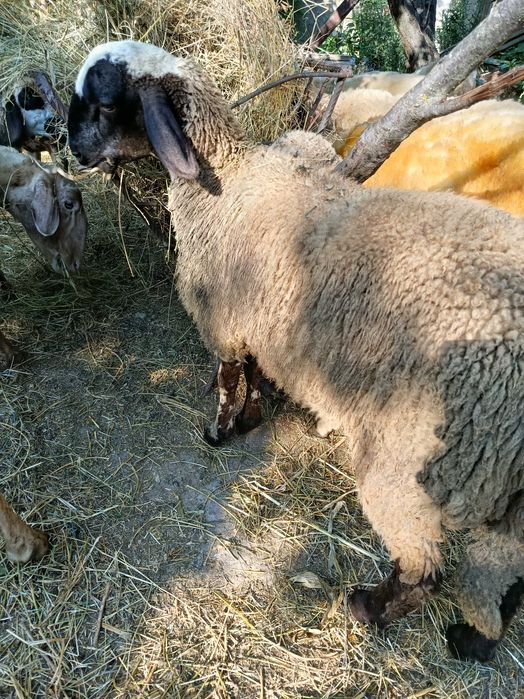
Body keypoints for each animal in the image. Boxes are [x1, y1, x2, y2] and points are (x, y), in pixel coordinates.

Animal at [68, 40, 524, 662]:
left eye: (107, 101)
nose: (71, 147)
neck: (227, 180)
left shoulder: (222, 318)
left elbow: (228, 377)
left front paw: (219, 432)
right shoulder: (259, 318)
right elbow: (256, 371)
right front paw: (254, 417)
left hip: (411, 459)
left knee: (424, 569)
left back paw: (369, 609)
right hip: (506, 489)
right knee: (502, 576)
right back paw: (474, 639)